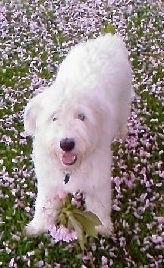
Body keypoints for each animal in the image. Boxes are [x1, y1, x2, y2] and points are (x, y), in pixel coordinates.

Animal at [23, 34, 133, 237]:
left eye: (81, 117)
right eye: (54, 117)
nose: (67, 144)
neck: (70, 170)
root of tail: (107, 38)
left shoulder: (98, 180)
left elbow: (98, 206)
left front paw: (102, 228)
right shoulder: (49, 182)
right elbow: (43, 205)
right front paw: (37, 226)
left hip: (123, 101)